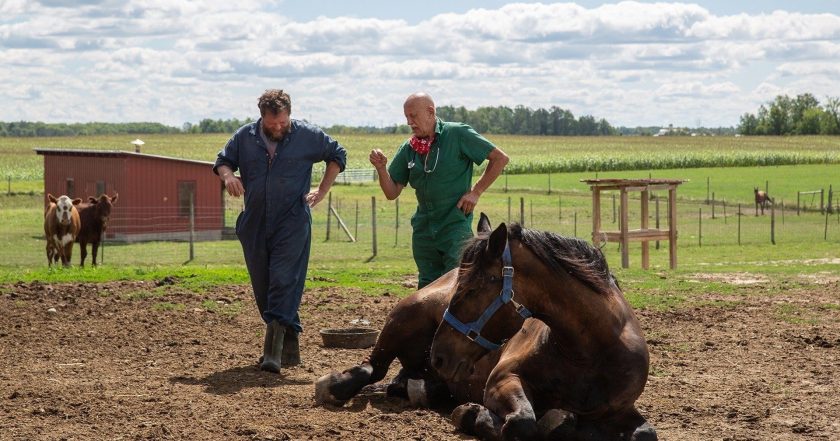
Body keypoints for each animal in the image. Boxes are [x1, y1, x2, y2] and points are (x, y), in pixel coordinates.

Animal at [434, 218, 656, 438]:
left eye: (470, 289)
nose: (438, 357)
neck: (587, 352)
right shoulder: (502, 378)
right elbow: (521, 422)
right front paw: (472, 413)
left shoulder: (618, 409)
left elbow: (646, 433)